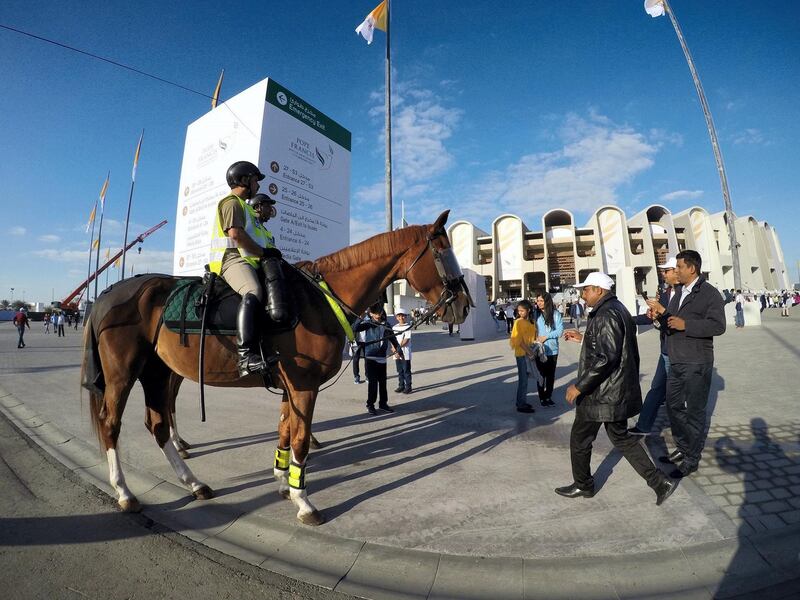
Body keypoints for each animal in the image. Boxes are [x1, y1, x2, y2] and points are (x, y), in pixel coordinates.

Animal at [81, 211, 468, 524]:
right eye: (443, 253)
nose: (464, 305)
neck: (318, 300)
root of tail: (108, 293)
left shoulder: (290, 388)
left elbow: (284, 432)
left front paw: (284, 483)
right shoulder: (304, 386)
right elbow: (299, 440)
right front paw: (304, 501)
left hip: (158, 372)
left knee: (158, 425)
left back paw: (193, 483)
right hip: (123, 374)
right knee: (111, 423)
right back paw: (125, 492)